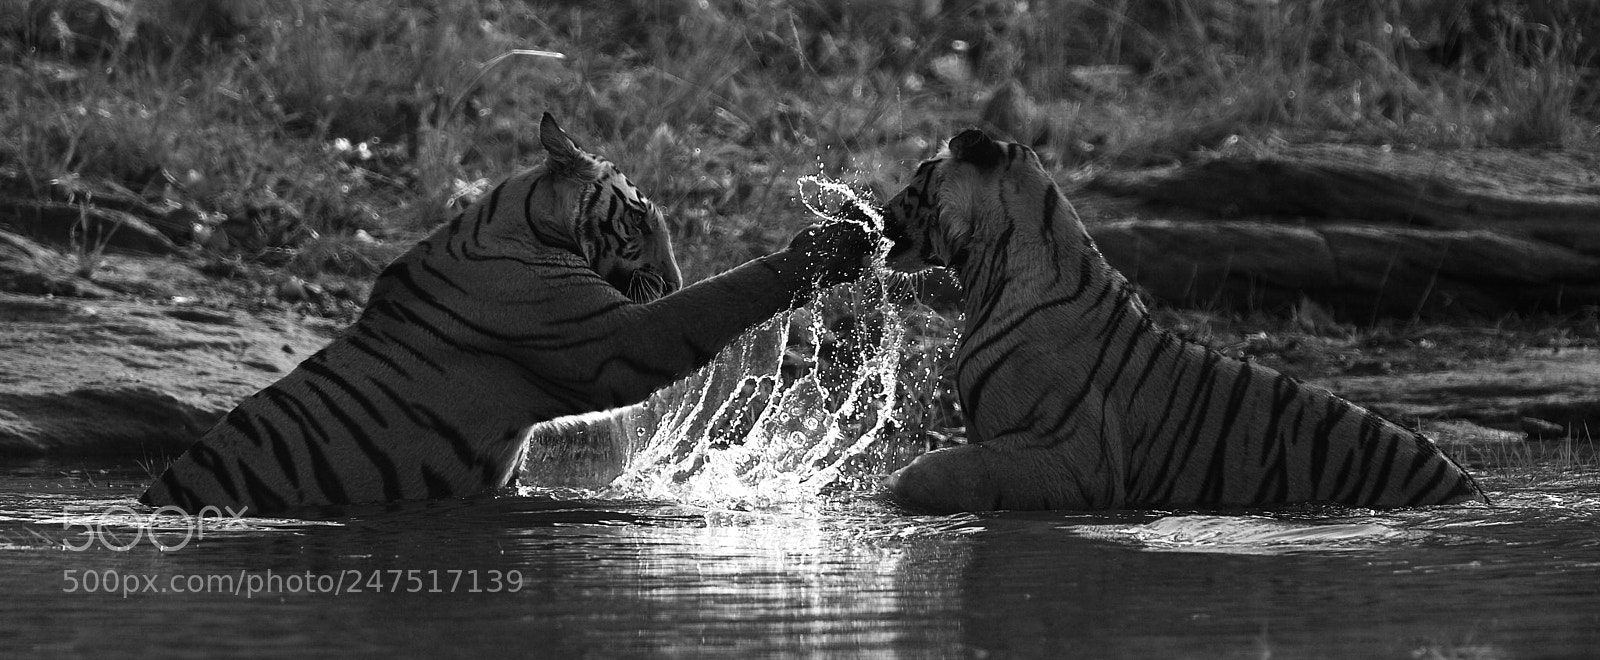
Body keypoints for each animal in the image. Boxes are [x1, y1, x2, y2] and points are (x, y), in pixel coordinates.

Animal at [140, 113, 871, 516]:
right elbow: (719, 297)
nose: (671, 277)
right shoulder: (614, 339)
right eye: (639, 221)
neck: (526, 222)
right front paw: (832, 245)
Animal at [878, 128, 1488, 512]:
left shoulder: (1072, 456)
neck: (989, 269)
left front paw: (890, 485)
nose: (880, 210)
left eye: (918, 176)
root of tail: (1473, 489)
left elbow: (945, 469)